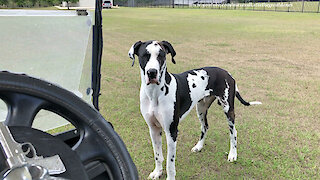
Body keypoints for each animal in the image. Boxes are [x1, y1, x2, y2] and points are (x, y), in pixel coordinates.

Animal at [127, 40, 260, 179]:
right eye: (144, 55)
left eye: (161, 55)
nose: (152, 72)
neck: (154, 93)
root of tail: (228, 73)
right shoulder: (153, 129)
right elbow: (158, 155)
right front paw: (157, 172)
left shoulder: (171, 132)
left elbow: (170, 163)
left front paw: (169, 177)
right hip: (201, 109)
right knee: (205, 127)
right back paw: (199, 146)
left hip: (228, 109)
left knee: (233, 132)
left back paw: (233, 154)